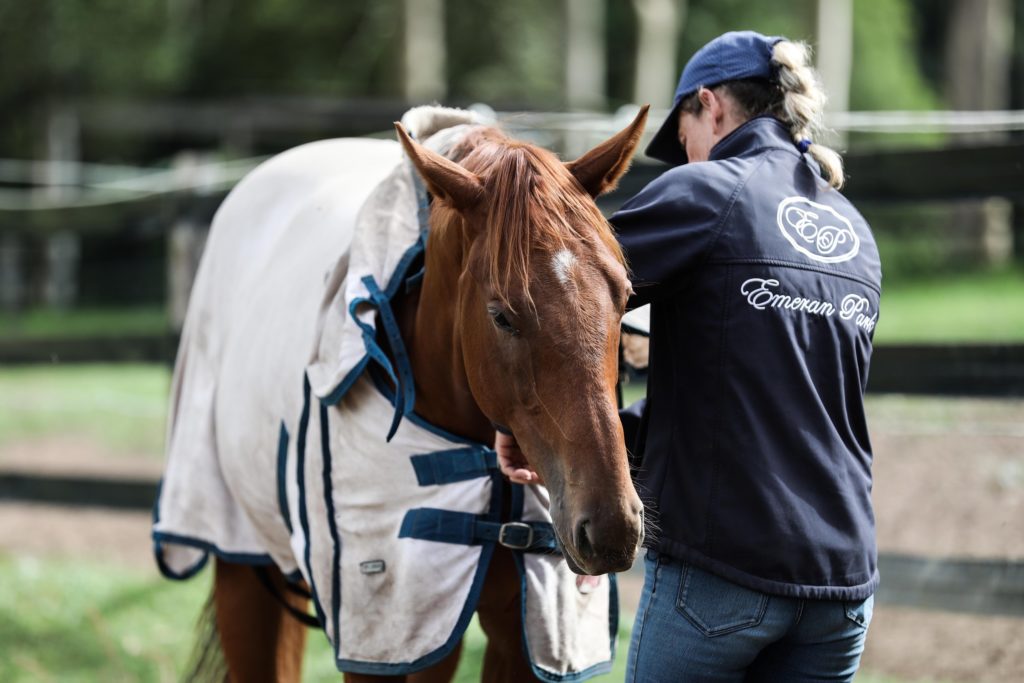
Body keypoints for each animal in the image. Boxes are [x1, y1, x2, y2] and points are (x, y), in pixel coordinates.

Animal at [158, 105, 649, 682]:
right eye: (502, 315)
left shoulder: (524, 640)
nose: (613, 527)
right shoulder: (384, 645)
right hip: (242, 567)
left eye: (624, 296)